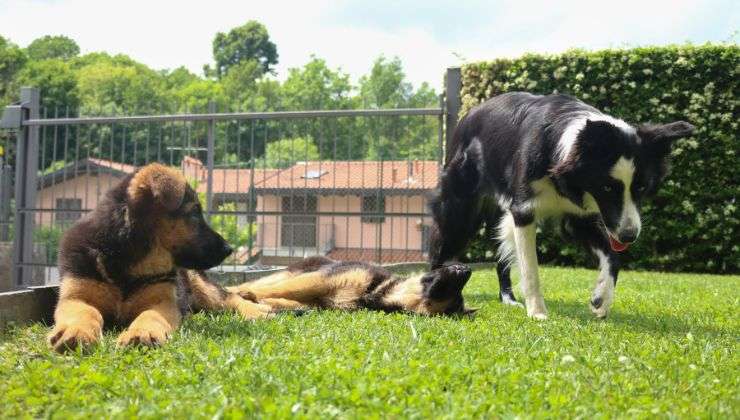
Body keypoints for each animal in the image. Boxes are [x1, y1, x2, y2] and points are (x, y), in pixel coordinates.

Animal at [50, 162, 274, 352]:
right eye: (194, 214)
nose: (229, 249)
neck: (127, 261)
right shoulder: (76, 297)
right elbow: (85, 312)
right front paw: (76, 330)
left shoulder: (163, 301)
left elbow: (150, 315)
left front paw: (142, 332)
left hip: (199, 285)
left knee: (229, 298)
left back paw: (255, 310)